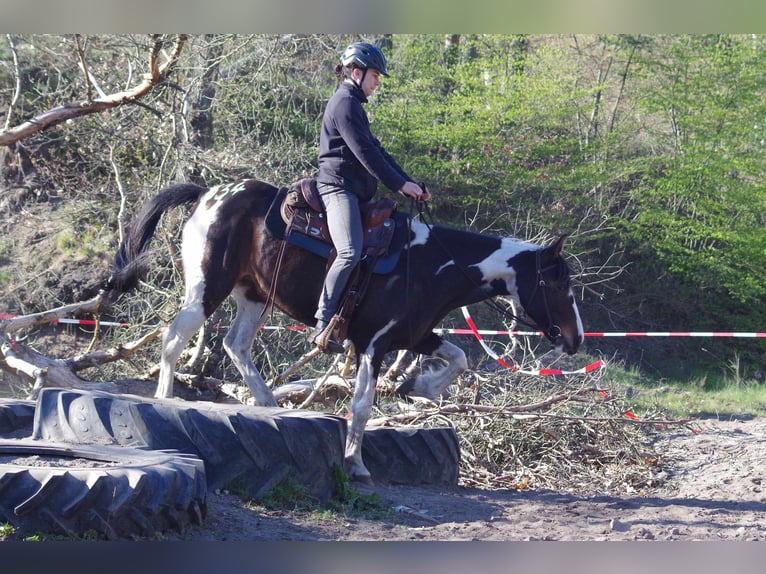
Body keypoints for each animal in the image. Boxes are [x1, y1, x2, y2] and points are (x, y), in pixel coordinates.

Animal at [102, 178, 584, 484]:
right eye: (558, 282)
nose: (575, 339)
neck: (432, 265)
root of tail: (208, 194)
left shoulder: (413, 335)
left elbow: (460, 358)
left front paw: (418, 386)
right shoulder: (372, 344)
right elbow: (362, 405)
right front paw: (356, 461)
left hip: (253, 296)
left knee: (235, 344)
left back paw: (267, 404)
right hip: (207, 288)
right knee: (174, 338)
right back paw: (165, 398)